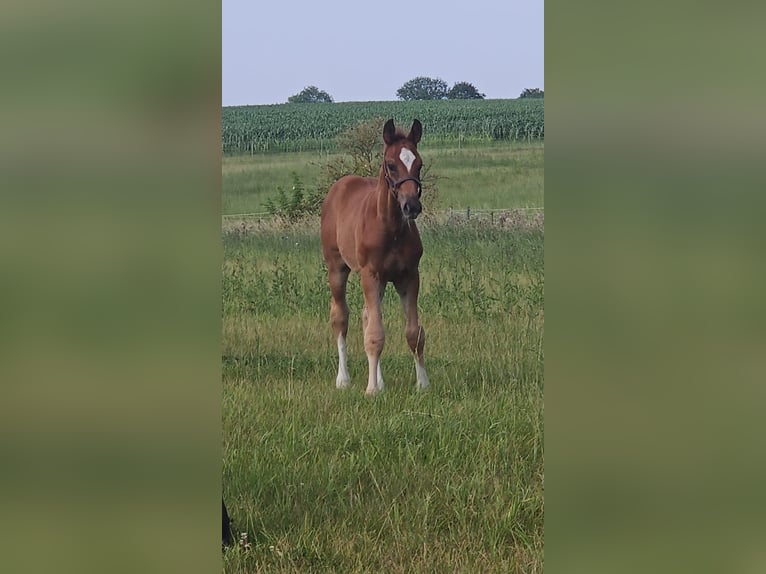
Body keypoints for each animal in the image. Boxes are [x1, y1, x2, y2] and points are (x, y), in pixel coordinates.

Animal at [320, 117, 432, 396]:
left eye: (419, 164)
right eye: (391, 165)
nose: (412, 207)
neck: (390, 229)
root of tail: (340, 185)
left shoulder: (408, 276)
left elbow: (414, 333)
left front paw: (423, 384)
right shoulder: (370, 274)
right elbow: (374, 335)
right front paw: (371, 390)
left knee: (366, 315)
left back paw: (379, 380)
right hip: (337, 269)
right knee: (341, 317)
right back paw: (344, 379)